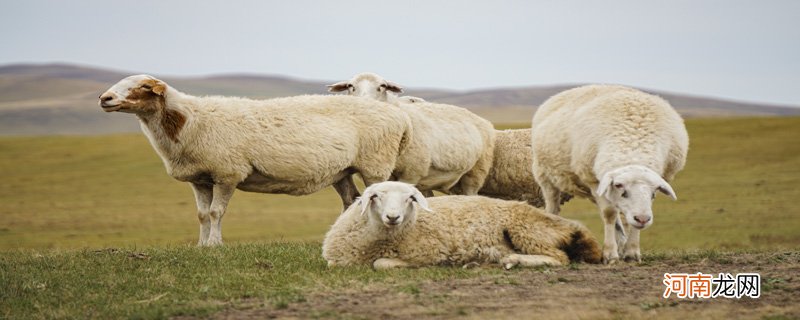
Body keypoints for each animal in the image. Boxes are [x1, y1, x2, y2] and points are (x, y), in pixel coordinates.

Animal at [96, 75, 416, 248]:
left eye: (143, 87)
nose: (105, 98)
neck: (188, 120)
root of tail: (399, 116)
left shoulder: (227, 172)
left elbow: (216, 212)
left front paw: (215, 245)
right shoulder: (200, 179)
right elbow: (201, 215)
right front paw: (201, 245)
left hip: (375, 163)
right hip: (341, 171)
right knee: (351, 201)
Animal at [318, 181, 600, 268]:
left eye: (410, 198)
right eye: (376, 196)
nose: (393, 217)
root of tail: (568, 226)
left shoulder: (429, 253)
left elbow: (382, 264)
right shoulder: (336, 261)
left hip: (526, 230)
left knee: (559, 258)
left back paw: (513, 260)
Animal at [532, 84, 688, 264]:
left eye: (654, 191)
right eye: (619, 186)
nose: (642, 219)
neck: (633, 145)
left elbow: (629, 218)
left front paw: (631, 252)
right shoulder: (594, 181)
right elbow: (609, 214)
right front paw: (610, 254)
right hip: (545, 177)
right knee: (552, 205)